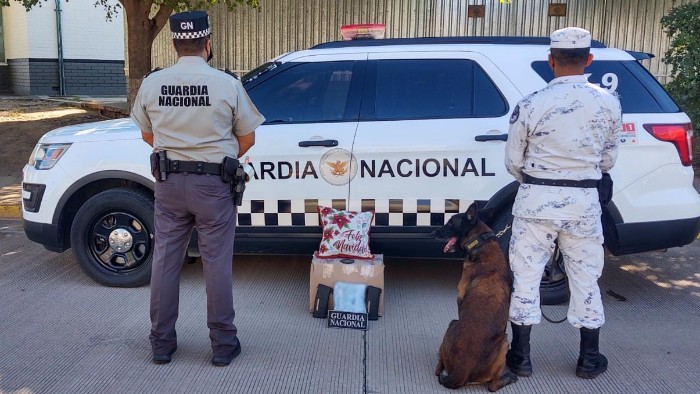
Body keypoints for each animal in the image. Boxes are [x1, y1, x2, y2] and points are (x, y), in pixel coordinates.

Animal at [430, 203, 516, 390]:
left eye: (450, 223)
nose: (432, 232)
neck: (480, 242)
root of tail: (460, 372)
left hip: (499, 339)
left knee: (491, 386)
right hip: (501, 339)